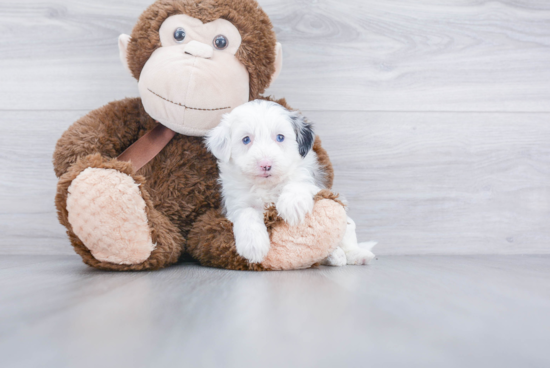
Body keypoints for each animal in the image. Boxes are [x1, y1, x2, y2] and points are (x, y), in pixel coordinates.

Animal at [205, 99, 378, 266]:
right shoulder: (236, 203)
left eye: (280, 137)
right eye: (246, 139)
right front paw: (253, 245)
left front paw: (293, 205)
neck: (267, 186)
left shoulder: (313, 184)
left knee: (347, 234)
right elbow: (247, 212)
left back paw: (355, 255)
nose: (265, 164)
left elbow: (297, 183)